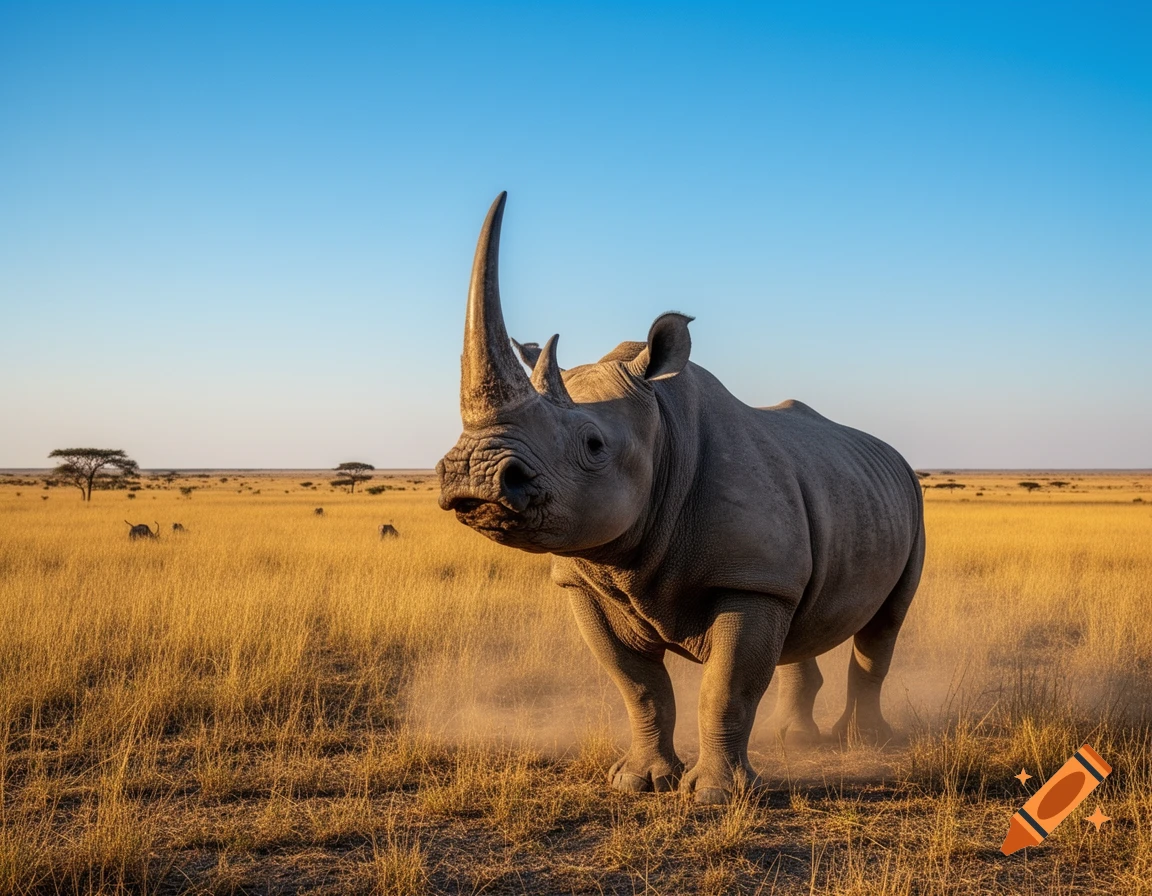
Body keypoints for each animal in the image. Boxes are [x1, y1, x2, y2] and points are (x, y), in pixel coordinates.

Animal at [437, 193, 925, 804]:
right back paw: (796, 739)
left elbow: (726, 688)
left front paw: (717, 796)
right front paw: (640, 782)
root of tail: (896, 457)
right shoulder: (583, 581)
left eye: (594, 445)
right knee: (802, 616)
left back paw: (864, 741)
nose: (472, 476)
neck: (661, 428)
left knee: (884, 625)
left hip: (912, 500)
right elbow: (639, 686)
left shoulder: (750, 579)